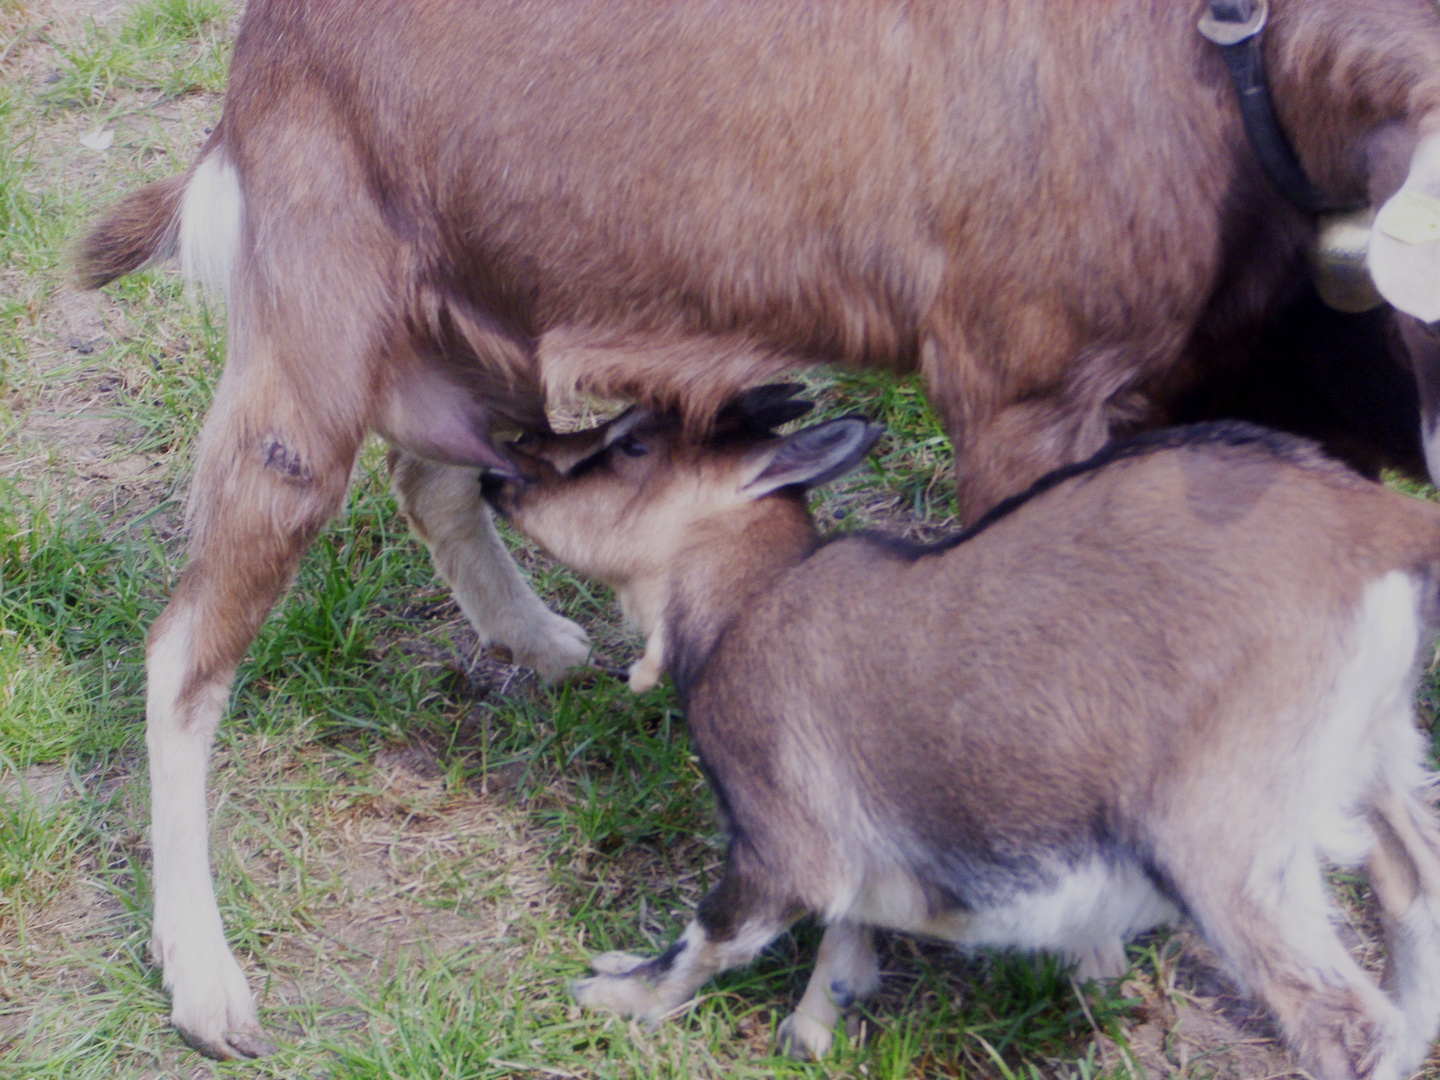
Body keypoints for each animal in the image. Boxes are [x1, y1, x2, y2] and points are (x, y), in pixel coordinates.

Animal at [81, 0, 1440, 1065]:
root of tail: (251, 62)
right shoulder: (1019, 384)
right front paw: (1082, 950)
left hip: (477, 305)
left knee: (445, 465)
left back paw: (541, 642)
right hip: (313, 326)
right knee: (185, 643)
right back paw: (207, 984)